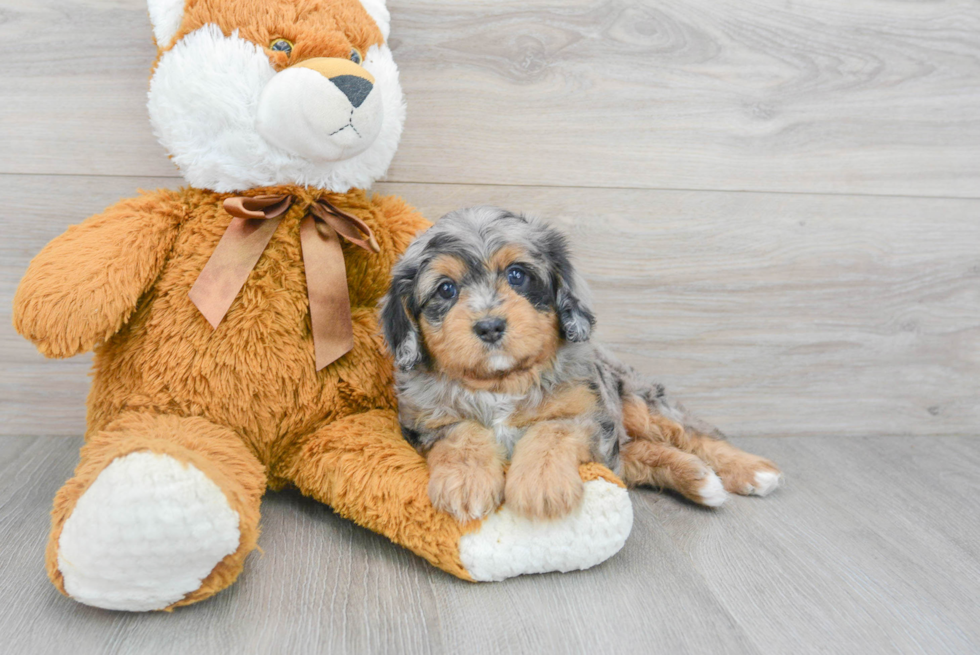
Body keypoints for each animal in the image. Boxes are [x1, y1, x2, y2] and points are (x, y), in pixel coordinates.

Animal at [378, 205, 784, 524]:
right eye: (445, 289)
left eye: (517, 275)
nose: (490, 326)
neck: (502, 382)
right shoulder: (426, 423)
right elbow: (463, 434)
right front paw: (466, 483)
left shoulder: (588, 413)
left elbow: (551, 431)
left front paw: (541, 485)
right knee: (641, 454)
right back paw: (700, 479)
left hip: (636, 401)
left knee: (692, 432)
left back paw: (752, 471)